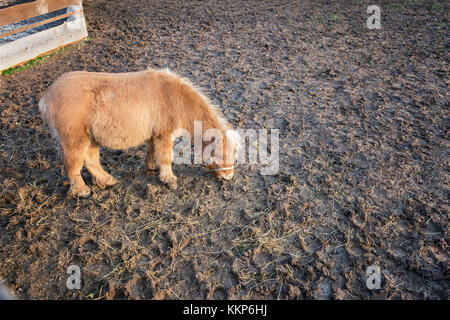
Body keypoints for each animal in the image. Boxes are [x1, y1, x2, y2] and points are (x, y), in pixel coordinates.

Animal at [38, 69, 239, 196]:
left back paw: (107, 180)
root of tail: (46, 97)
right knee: (73, 166)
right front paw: (169, 179)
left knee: (91, 161)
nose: (229, 176)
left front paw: (151, 167)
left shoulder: (153, 135)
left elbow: (151, 151)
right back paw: (82, 191)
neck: (174, 98)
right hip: (75, 140)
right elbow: (166, 157)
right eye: (221, 154)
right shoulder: (164, 135)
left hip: (90, 139)